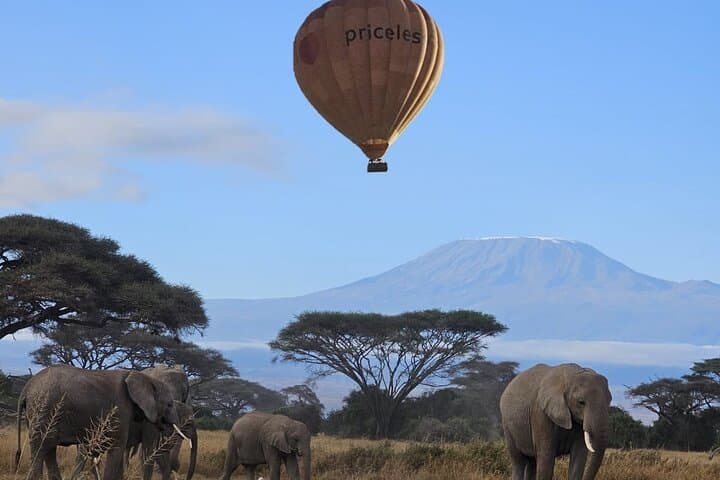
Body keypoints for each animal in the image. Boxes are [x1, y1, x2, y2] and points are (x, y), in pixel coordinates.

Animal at [15, 365, 187, 480]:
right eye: (169, 404)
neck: (145, 378)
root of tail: (25, 389)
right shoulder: (120, 408)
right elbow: (117, 449)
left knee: (49, 449)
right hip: (44, 409)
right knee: (41, 448)